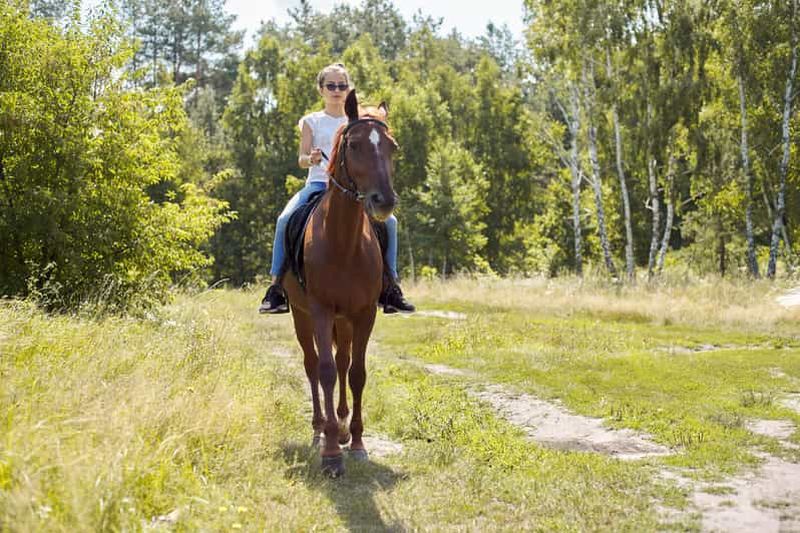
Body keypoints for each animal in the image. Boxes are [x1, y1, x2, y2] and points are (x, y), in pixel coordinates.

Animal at [282, 90, 398, 477]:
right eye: (356, 145)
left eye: (392, 147)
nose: (384, 201)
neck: (343, 241)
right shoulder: (319, 310)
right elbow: (326, 371)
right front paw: (331, 452)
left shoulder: (364, 313)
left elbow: (357, 372)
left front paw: (357, 441)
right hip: (301, 315)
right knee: (312, 363)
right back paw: (321, 429)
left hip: (344, 321)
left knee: (344, 359)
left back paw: (345, 426)